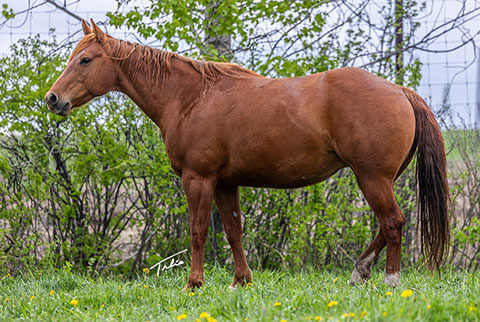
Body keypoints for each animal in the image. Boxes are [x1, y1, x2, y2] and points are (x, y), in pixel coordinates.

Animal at [45, 20, 450, 290]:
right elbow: (234, 231)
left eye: (85, 60)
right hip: (379, 178)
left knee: (393, 222)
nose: (52, 99)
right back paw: (360, 271)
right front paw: (241, 281)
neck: (191, 97)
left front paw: (194, 284)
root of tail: (400, 90)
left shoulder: (198, 178)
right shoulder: (225, 183)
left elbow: (198, 231)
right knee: (387, 224)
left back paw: (391, 281)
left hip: (371, 177)